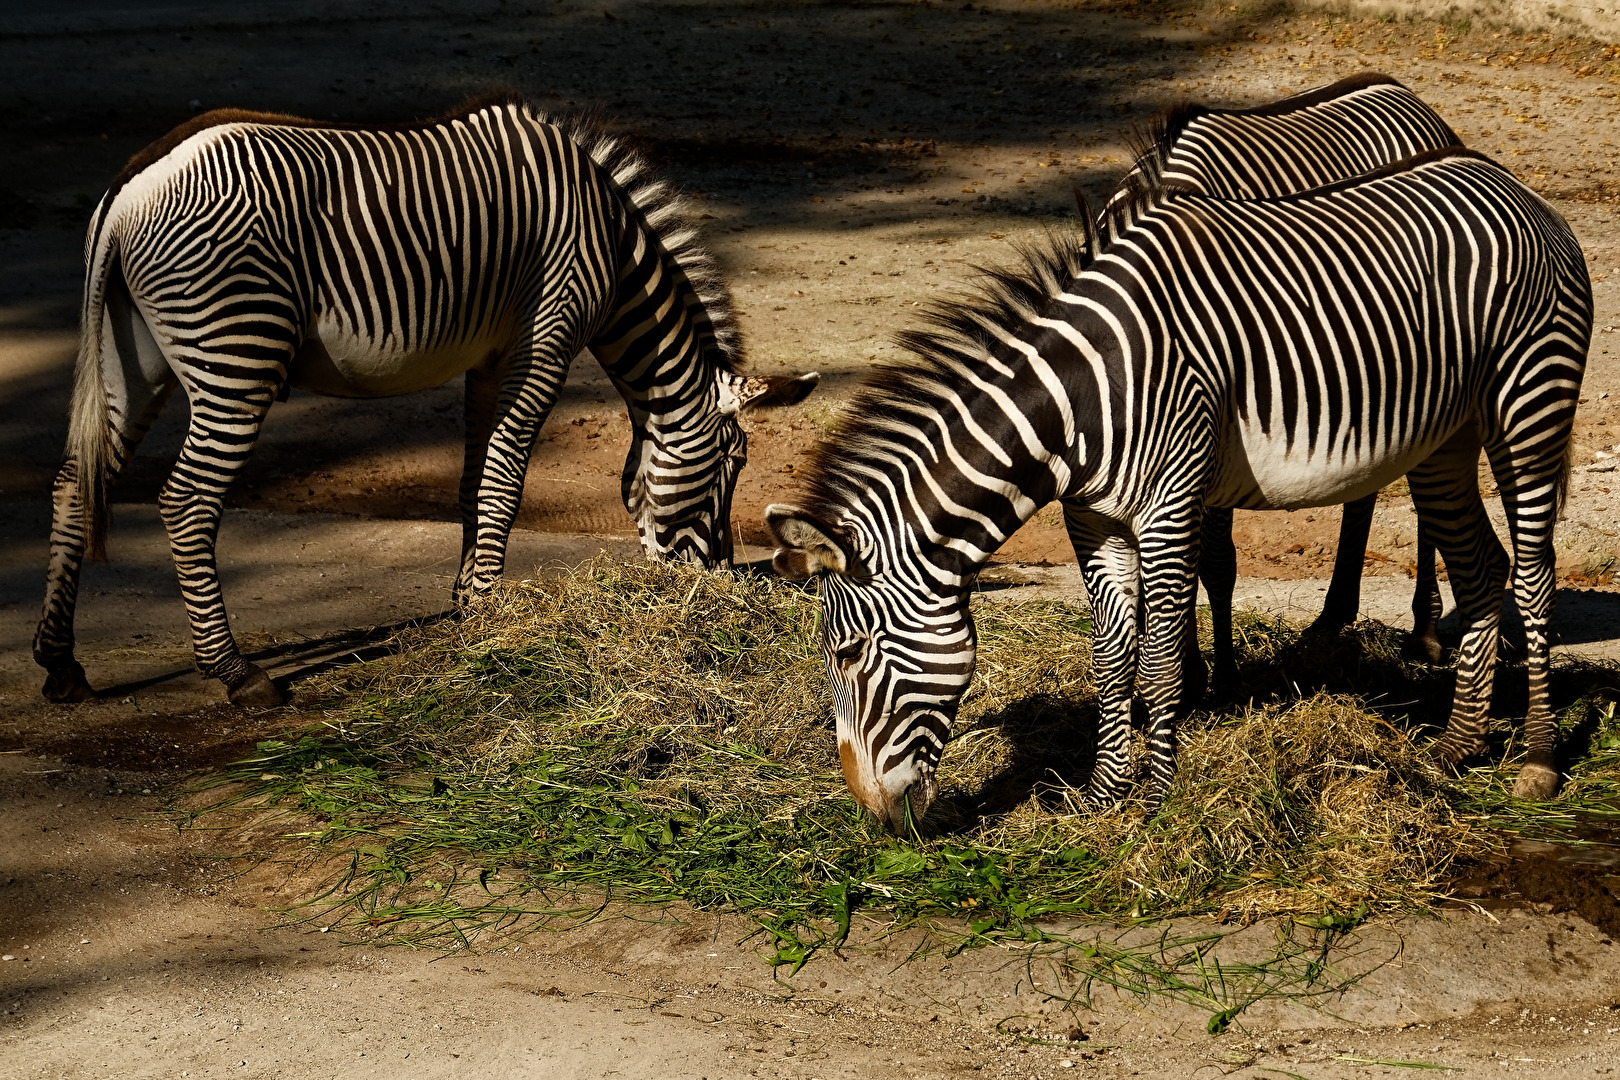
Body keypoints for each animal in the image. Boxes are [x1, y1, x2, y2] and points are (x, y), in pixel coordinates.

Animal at [34, 92, 817, 708]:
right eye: (733, 464)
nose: (714, 584)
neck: (614, 250)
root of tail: (128, 188)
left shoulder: (490, 355)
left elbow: (477, 476)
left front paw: (466, 599)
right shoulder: (548, 334)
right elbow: (508, 474)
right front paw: (491, 608)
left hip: (133, 355)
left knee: (76, 479)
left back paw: (61, 663)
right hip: (236, 351)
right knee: (186, 501)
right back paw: (236, 672)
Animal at [768, 147, 1588, 831]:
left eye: (847, 653)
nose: (872, 813)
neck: (1076, 404)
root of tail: (1515, 186)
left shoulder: (1168, 505)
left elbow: (1159, 661)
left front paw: (1156, 799)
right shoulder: (1093, 520)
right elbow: (1110, 659)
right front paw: (1103, 796)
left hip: (1529, 403)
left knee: (1534, 575)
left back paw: (1539, 761)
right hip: (1444, 438)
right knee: (1482, 568)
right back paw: (1457, 747)